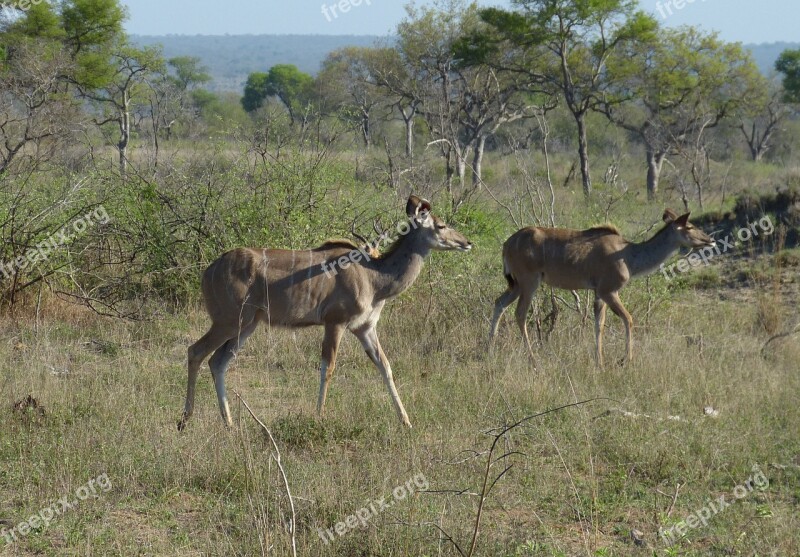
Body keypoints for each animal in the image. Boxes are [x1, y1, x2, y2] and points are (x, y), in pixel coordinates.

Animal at [178, 195, 472, 430]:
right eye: (441, 225)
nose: (467, 242)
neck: (374, 276)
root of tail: (209, 271)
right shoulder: (335, 322)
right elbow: (327, 367)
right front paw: (318, 416)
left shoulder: (365, 328)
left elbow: (385, 366)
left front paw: (406, 421)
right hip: (228, 322)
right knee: (196, 351)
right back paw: (184, 421)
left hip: (247, 325)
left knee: (218, 361)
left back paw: (228, 424)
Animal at [490, 208, 716, 364]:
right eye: (690, 226)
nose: (711, 240)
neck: (628, 256)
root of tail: (506, 244)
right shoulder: (609, 291)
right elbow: (628, 319)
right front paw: (625, 360)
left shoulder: (599, 293)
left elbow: (599, 324)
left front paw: (599, 361)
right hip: (529, 282)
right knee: (520, 313)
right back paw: (533, 359)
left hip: (516, 284)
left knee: (499, 303)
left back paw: (488, 349)